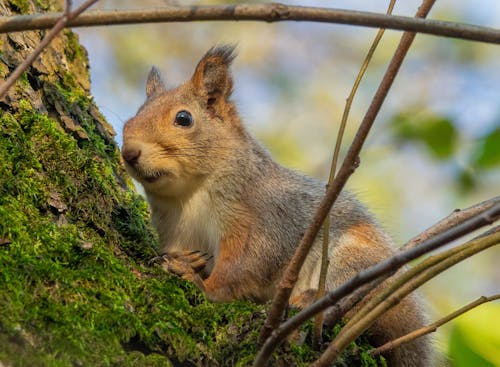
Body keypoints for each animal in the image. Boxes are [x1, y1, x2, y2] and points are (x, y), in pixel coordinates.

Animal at [121, 44, 430, 366]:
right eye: (132, 118)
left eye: (183, 118)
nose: (129, 152)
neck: (190, 195)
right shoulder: (176, 232)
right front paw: (186, 261)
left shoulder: (262, 221)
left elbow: (242, 269)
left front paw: (199, 283)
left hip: (353, 262)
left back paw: (309, 299)